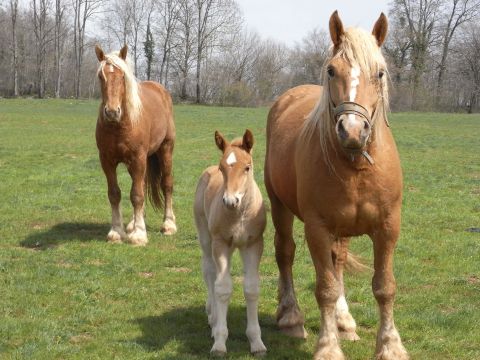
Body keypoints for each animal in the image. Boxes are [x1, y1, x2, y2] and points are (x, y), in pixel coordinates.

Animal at [94, 45, 176, 245]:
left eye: (123, 75)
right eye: (101, 76)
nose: (112, 112)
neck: (119, 126)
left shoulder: (137, 158)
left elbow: (137, 195)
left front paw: (139, 234)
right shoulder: (107, 161)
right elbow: (115, 194)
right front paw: (117, 231)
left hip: (166, 150)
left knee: (167, 184)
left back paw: (168, 224)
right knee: (142, 184)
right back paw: (133, 223)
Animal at [194, 130, 266, 358]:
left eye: (247, 167)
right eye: (222, 168)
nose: (230, 201)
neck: (239, 214)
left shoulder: (253, 245)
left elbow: (251, 288)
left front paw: (257, 343)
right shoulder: (221, 244)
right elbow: (223, 288)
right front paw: (219, 342)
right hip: (206, 238)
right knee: (210, 272)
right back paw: (213, 318)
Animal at [264, 11, 406, 360]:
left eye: (379, 72)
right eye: (331, 70)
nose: (352, 131)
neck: (356, 166)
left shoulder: (388, 227)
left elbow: (384, 287)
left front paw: (390, 345)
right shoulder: (316, 227)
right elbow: (326, 288)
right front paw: (328, 346)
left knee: (337, 260)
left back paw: (344, 321)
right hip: (279, 206)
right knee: (285, 252)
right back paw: (290, 316)